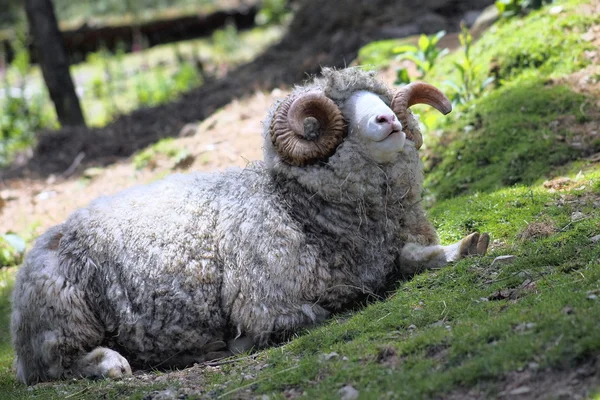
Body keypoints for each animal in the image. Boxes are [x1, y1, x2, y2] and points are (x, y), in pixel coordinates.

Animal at [10, 68, 488, 384]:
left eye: (384, 99)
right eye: (339, 112)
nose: (388, 120)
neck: (296, 206)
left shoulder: (394, 244)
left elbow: (414, 258)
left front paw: (467, 246)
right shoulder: (262, 301)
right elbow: (312, 314)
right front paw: (238, 344)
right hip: (63, 318)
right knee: (56, 364)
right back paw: (112, 362)